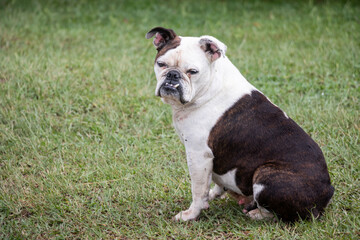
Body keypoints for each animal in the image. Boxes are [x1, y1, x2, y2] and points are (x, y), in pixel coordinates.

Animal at [145, 27, 334, 222]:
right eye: (161, 64)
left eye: (193, 71)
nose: (172, 74)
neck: (209, 88)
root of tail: (327, 193)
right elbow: (212, 182)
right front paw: (213, 195)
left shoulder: (198, 155)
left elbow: (197, 190)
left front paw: (191, 214)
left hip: (266, 175)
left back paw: (256, 213)